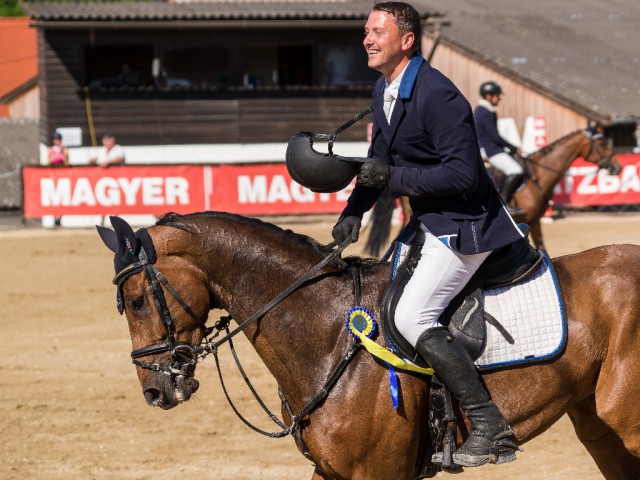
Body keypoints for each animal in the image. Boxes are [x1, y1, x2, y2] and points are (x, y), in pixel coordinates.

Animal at [97, 214, 640, 480]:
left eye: (137, 299)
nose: (155, 391)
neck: (329, 334)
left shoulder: (378, 475)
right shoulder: (331, 473)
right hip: (600, 428)